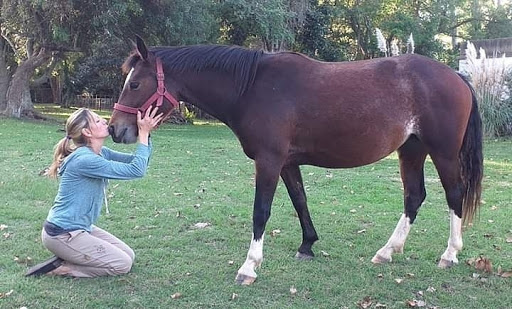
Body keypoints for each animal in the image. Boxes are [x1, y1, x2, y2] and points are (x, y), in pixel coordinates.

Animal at [108, 36, 484, 284]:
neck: (253, 87)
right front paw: (308, 245)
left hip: (442, 153)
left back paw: (449, 254)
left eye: (136, 84)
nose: (115, 129)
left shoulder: (269, 161)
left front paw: (249, 266)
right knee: (414, 197)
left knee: (454, 195)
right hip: (411, 151)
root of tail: (457, 76)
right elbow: (300, 200)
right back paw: (388, 251)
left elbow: (261, 212)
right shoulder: (287, 163)